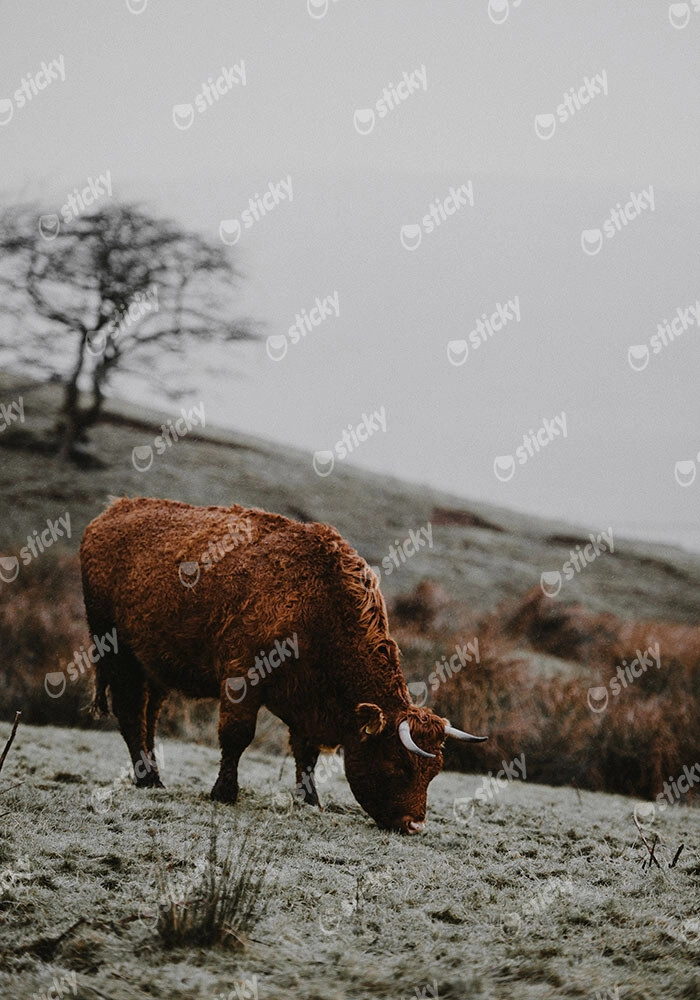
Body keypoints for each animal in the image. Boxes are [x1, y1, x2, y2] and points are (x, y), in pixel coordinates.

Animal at [79, 497, 485, 832]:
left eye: (434, 772)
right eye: (397, 764)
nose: (415, 825)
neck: (318, 602)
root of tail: (112, 511)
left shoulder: (307, 703)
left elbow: (306, 753)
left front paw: (310, 801)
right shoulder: (242, 679)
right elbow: (237, 736)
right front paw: (224, 792)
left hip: (154, 665)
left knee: (149, 715)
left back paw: (151, 776)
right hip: (117, 653)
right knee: (131, 712)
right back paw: (148, 779)